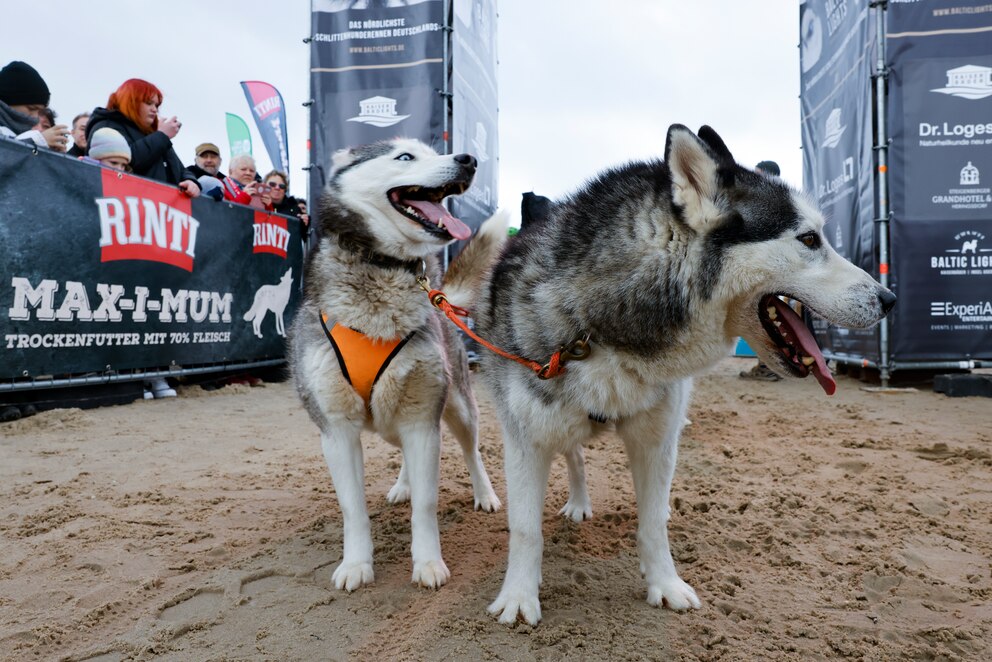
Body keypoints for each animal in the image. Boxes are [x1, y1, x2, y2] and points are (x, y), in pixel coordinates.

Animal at [288, 139, 504, 592]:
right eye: (405, 157)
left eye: (436, 152)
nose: (468, 159)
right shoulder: (336, 430)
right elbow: (353, 509)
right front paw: (356, 564)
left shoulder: (423, 420)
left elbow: (426, 503)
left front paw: (428, 563)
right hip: (393, 419)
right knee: (403, 451)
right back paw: (403, 484)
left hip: (457, 406)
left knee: (472, 450)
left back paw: (484, 493)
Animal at [446, 126, 896, 628]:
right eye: (810, 239)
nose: (889, 299)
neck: (606, 332)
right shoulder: (527, 440)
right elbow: (526, 529)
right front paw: (519, 596)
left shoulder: (656, 442)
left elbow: (653, 523)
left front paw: (664, 584)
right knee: (573, 454)